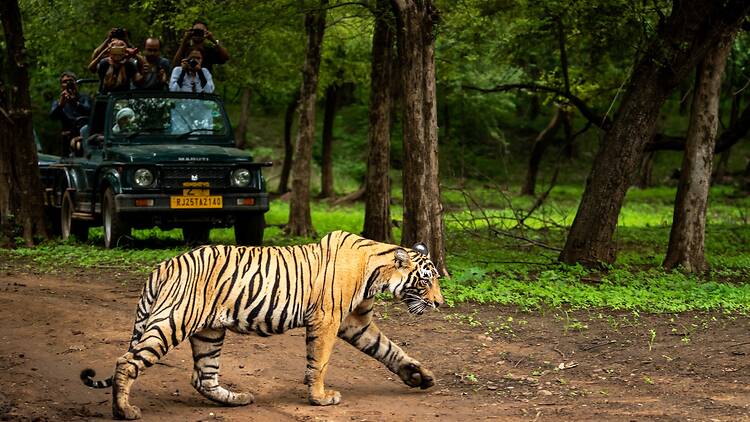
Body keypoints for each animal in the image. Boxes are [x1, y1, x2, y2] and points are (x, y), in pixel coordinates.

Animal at [80, 230, 444, 420]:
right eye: (426, 280)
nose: (440, 303)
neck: (377, 274)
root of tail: (163, 265)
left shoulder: (355, 323)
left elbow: (390, 350)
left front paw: (420, 376)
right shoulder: (327, 320)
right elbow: (320, 362)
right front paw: (320, 398)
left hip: (209, 331)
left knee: (203, 377)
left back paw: (237, 399)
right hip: (173, 320)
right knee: (127, 361)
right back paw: (124, 410)